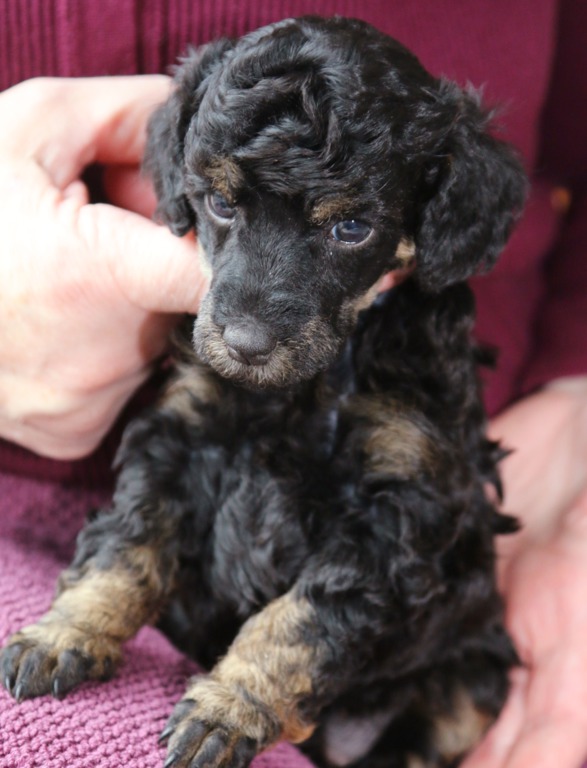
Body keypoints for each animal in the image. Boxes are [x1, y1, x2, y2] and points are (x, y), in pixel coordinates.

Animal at [0, 16, 526, 768]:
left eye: (351, 228)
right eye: (220, 203)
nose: (246, 343)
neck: (304, 389)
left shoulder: (395, 508)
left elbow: (299, 623)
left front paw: (228, 709)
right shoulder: (180, 434)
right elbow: (128, 540)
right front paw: (66, 631)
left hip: (466, 679)